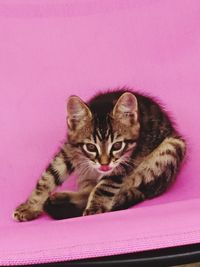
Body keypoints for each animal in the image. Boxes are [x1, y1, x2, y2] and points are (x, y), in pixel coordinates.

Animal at [13, 90, 186, 222]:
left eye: (117, 146)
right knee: (89, 188)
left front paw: (96, 207)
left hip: (171, 148)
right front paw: (31, 206)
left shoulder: (125, 161)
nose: (104, 164)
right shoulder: (69, 150)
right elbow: (48, 177)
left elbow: (105, 187)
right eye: (90, 147)